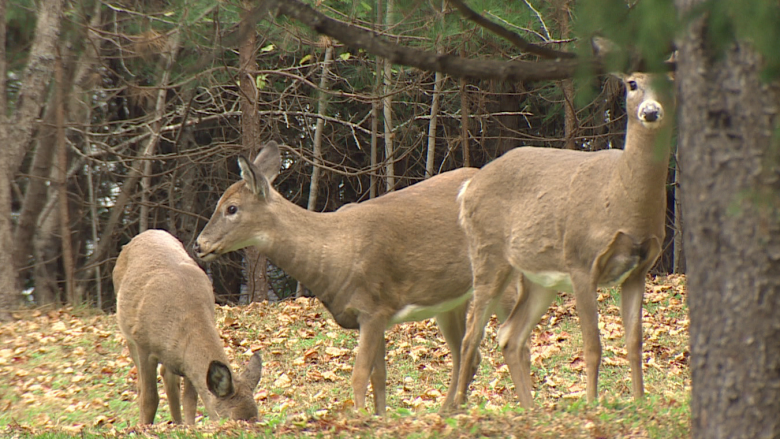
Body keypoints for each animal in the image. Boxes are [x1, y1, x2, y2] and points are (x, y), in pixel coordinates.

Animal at [114, 230, 262, 426]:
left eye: (257, 418)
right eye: (232, 419)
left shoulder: (188, 361)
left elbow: (190, 400)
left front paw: (190, 426)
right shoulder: (143, 344)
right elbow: (150, 398)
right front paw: (144, 427)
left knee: (169, 378)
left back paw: (177, 423)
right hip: (129, 334)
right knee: (142, 385)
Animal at [192, 142, 528, 416]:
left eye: (231, 208)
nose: (199, 245)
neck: (335, 253)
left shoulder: (373, 307)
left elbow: (358, 375)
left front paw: (361, 417)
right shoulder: (374, 315)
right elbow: (378, 376)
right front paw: (380, 417)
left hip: (503, 275)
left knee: (515, 342)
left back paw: (527, 406)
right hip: (449, 299)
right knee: (467, 355)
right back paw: (449, 411)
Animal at [448, 61, 680, 410]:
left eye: (670, 81)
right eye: (631, 83)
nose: (651, 111)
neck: (622, 198)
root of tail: (467, 189)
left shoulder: (639, 269)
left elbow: (634, 342)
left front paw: (640, 402)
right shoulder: (581, 260)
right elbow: (592, 346)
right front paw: (592, 404)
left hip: (539, 279)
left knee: (509, 335)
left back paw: (531, 410)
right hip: (488, 253)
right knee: (472, 333)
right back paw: (459, 406)